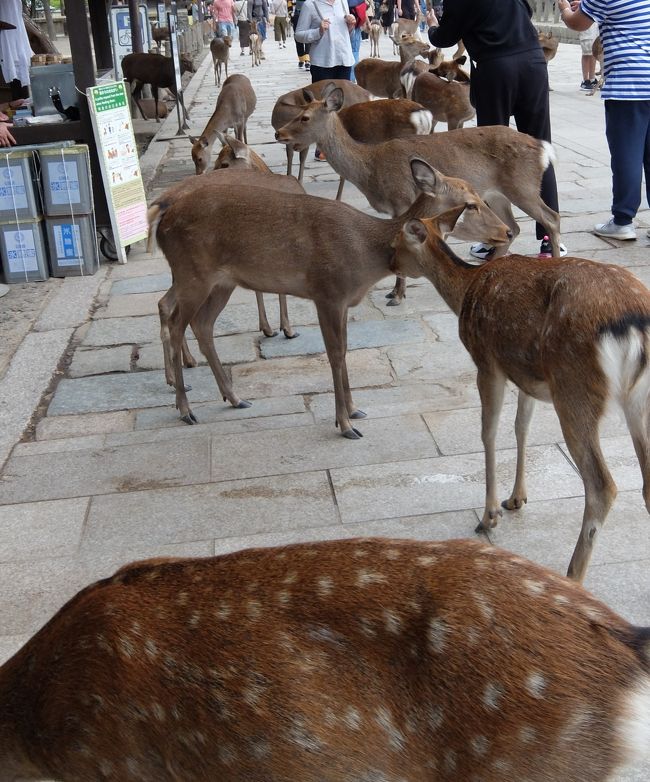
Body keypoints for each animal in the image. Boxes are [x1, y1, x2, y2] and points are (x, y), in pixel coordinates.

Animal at [148, 159, 512, 434]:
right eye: (471, 204)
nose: (507, 231)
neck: (364, 255)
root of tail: (162, 220)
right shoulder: (327, 292)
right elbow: (335, 353)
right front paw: (344, 423)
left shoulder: (344, 302)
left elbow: (346, 349)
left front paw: (354, 409)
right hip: (193, 273)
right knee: (179, 322)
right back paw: (185, 408)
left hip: (220, 282)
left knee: (199, 322)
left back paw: (234, 397)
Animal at [276, 82, 560, 306]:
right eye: (299, 113)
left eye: (305, 117)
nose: (279, 133)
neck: (370, 169)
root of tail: (543, 148)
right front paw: (396, 291)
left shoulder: (402, 200)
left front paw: (397, 294)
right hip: (497, 194)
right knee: (514, 227)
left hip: (523, 186)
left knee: (551, 218)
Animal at [390, 208, 648, 580]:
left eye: (395, 242)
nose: (389, 264)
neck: (466, 289)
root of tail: (635, 322)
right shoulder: (528, 377)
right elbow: (521, 427)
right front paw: (516, 498)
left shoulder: (487, 361)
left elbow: (488, 432)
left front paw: (489, 516)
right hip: (636, 400)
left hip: (574, 389)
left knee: (602, 485)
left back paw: (572, 575)